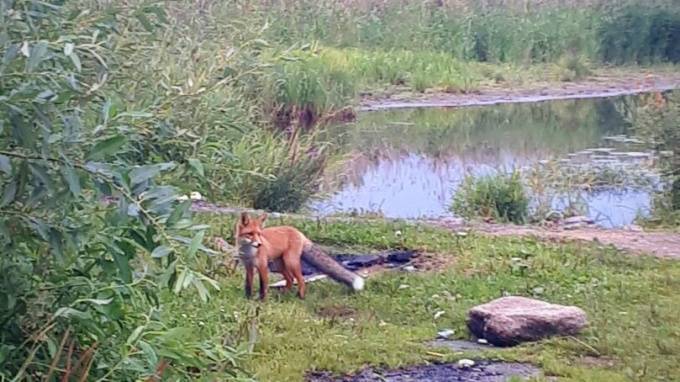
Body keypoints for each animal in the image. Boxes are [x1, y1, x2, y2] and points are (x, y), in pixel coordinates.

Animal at [234, 212, 364, 298]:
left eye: (259, 234)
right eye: (250, 234)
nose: (260, 244)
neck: (249, 252)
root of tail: (299, 232)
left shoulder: (262, 267)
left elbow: (263, 286)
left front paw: (262, 301)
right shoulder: (249, 267)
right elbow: (248, 285)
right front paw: (248, 298)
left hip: (290, 262)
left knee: (300, 279)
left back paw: (300, 296)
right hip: (279, 265)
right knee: (290, 279)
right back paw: (284, 294)